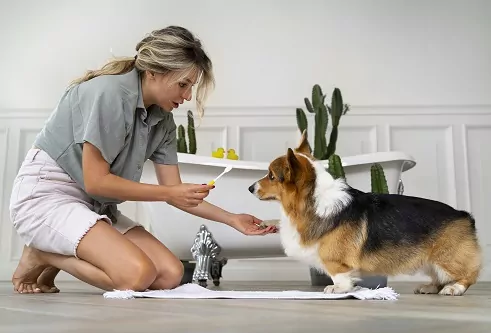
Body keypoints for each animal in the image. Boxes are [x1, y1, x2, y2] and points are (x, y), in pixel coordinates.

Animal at [248, 130, 482, 296]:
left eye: (270, 176)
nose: (250, 188)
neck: (312, 200)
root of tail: (464, 215)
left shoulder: (336, 262)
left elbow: (339, 276)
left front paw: (337, 289)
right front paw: (265, 223)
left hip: (446, 259)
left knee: (468, 275)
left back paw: (453, 289)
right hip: (432, 263)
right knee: (440, 278)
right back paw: (430, 287)